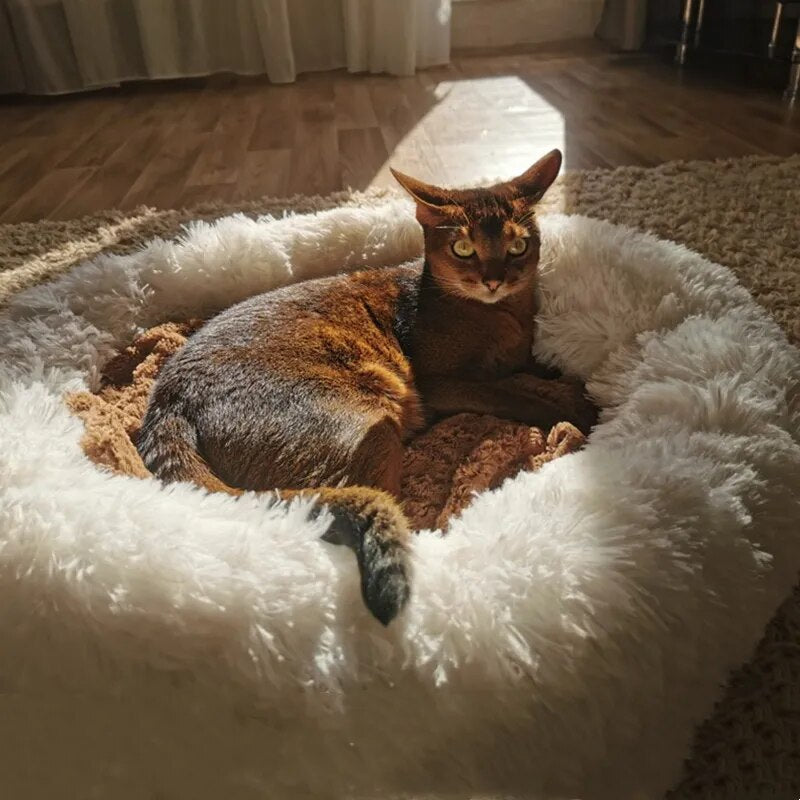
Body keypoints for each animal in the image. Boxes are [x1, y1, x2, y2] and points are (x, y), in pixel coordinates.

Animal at [138, 148, 596, 624]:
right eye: (463, 248)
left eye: (518, 246)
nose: (494, 279)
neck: (504, 315)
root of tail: (168, 402)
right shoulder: (440, 383)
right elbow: (512, 393)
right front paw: (574, 411)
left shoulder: (518, 356)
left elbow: (535, 371)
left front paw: (564, 382)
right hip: (368, 426)